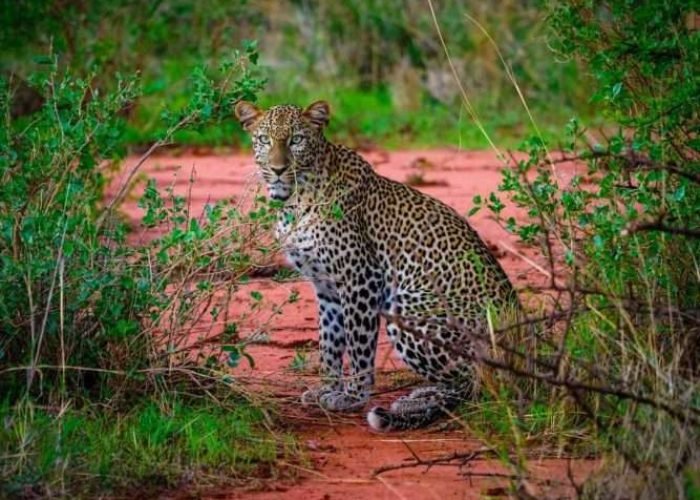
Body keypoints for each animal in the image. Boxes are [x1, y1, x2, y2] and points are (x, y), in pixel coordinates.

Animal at [234, 99, 520, 431]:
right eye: (264, 140)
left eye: (296, 140)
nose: (278, 169)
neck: (295, 199)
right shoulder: (326, 287)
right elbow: (329, 341)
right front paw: (326, 389)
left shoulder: (360, 278)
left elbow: (358, 342)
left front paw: (352, 396)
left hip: (409, 306)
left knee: (476, 382)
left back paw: (416, 402)